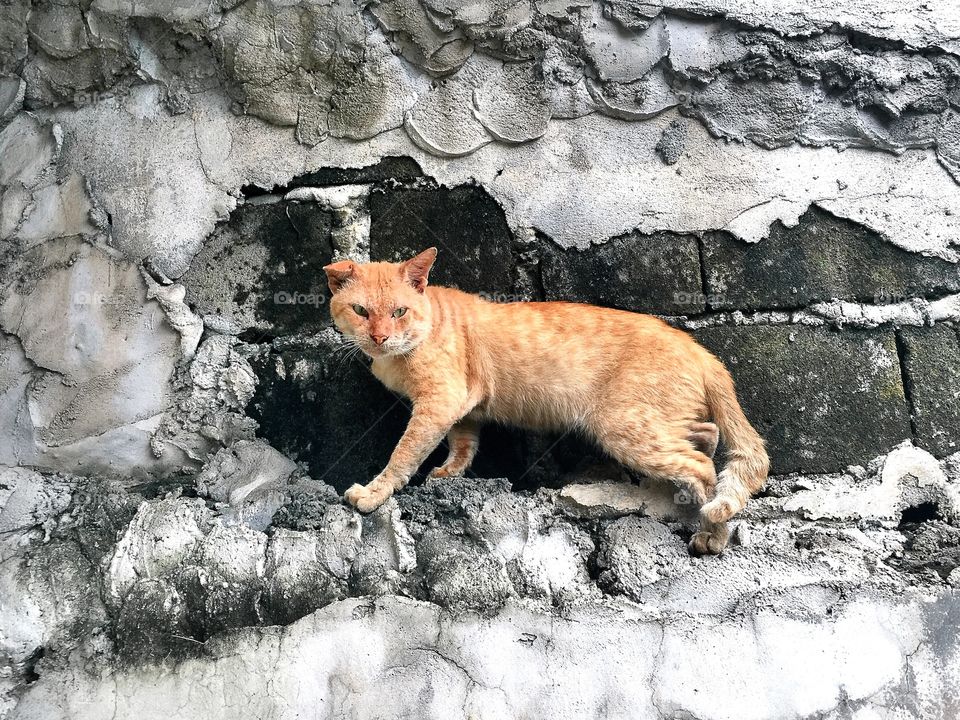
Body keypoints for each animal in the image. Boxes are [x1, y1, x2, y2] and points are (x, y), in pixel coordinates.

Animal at [326, 246, 768, 552]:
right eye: (361, 311)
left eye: (399, 311)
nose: (379, 337)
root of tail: (700, 349)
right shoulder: (461, 406)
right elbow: (463, 442)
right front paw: (450, 472)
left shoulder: (440, 400)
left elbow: (404, 454)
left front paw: (373, 493)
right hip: (657, 421)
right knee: (707, 434)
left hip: (625, 427)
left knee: (704, 467)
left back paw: (710, 532)